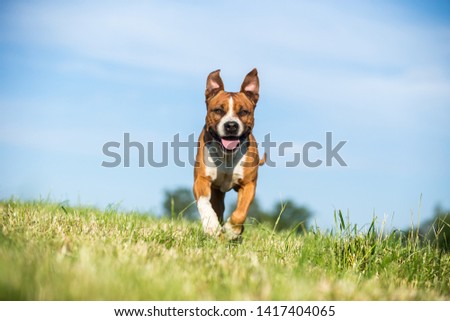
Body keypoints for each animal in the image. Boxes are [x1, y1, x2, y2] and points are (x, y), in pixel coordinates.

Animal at [194, 69, 264, 240]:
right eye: (218, 110)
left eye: (244, 112)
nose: (231, 125)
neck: (227, 156)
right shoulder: (201, 180)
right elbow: (204, 203)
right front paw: (211, 225)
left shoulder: (248, 185)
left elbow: (240, 213)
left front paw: (232, 229)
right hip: (217, 193)